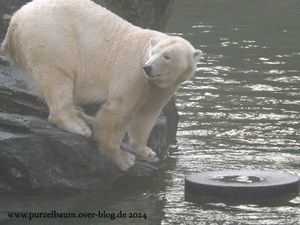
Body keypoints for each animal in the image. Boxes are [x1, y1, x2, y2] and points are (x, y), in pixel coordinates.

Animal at [1, 0, 203, 171]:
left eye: (167, 56)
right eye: (152, 53)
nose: (148, 67)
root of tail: (16, 18)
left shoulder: (161, 88)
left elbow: (146, 115)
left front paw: (147, 151)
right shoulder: (133, 73)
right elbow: (118, 110)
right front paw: (123, 158)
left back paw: (81, 114)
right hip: (51, 38)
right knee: (57, 77)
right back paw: (78, 125)